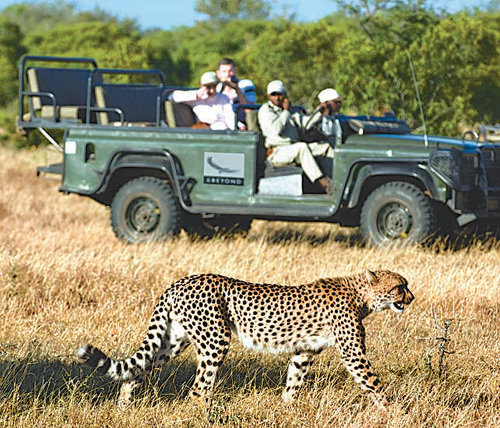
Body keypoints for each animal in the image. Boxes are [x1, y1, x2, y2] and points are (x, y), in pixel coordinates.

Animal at [77, 270, 414, 406]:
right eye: (400, 286)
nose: (412, 297)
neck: (361, 295)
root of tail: (181, 280)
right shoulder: (354, 354)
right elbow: (374, 384)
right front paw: (397, 412)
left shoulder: (303, 352)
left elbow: (293, 382)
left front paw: (286, 408)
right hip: (215, 340)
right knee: (198, 390)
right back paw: (206, 415)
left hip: (174, 340)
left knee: (137, 371)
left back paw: (123, 407)